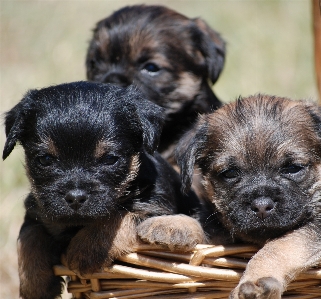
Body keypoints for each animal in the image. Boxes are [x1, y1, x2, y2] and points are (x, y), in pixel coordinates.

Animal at [2, 82, 204, 299]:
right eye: (45, 159)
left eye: (109, 159)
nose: (75, 197)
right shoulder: (36, 209)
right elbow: (28, 235)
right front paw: (35, 284)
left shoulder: (157, 209)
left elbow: (117, 217)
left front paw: (85, 250)